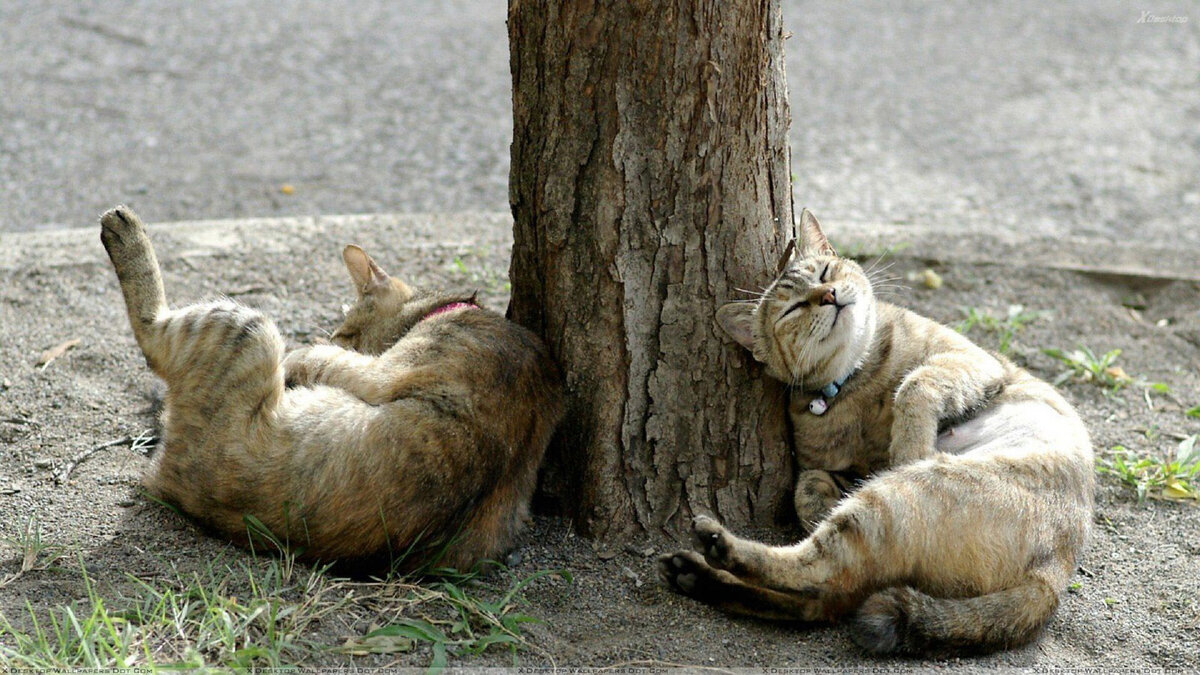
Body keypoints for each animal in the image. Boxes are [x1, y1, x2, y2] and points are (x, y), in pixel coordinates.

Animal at [99, 206, 561, 571]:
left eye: (345, 333)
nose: (337, 336)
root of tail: (171, 481)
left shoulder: (380, 371)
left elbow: (318, 357)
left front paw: (301, 358)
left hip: (248, 326)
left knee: (152, 337)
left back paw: (123, 229)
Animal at [662, 210, 1094, 653]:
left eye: (825, 272)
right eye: (793, 309)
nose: (829, 295)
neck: (857, 378)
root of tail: (1053, 574)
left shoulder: (969, 360)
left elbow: (915, 384)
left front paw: (909, 445)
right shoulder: (841, 470)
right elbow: (808, 488)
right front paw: (819, 505)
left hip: (893, 499)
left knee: (824, 582)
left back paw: (713, 556)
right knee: (822, 586)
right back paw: (704, 566)